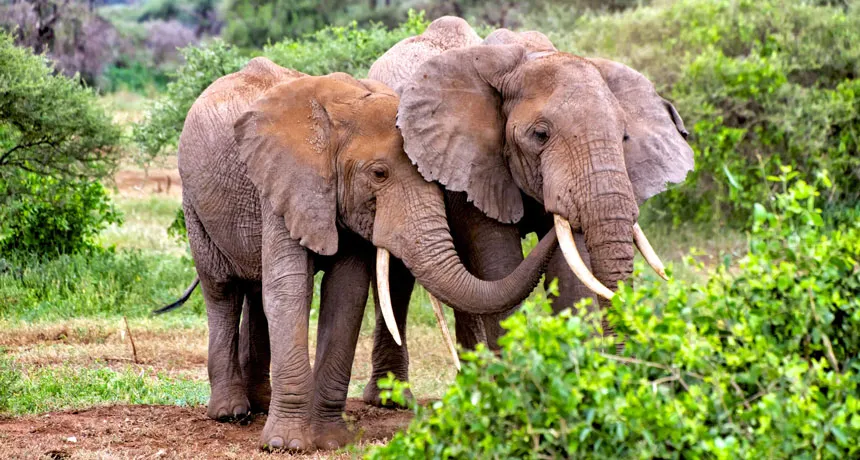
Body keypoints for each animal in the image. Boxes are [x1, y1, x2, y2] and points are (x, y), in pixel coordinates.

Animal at [175, 56, 560, 451]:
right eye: (379, 173)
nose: (553, 215)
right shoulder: (287, 184)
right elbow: (290, 290)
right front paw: (286, 445)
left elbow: (347, 294)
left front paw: (330, 441)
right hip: (193, 202)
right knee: (221, 290)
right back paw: (231, 412)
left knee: (254, 289)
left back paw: (261, 405)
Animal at [362, 17, 694, 399]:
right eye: (540, 135)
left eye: (624, 136)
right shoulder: (472, 163)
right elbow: (498, 262)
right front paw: (516, 392)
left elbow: (569, 272)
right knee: (398, 279)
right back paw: (390, 400)